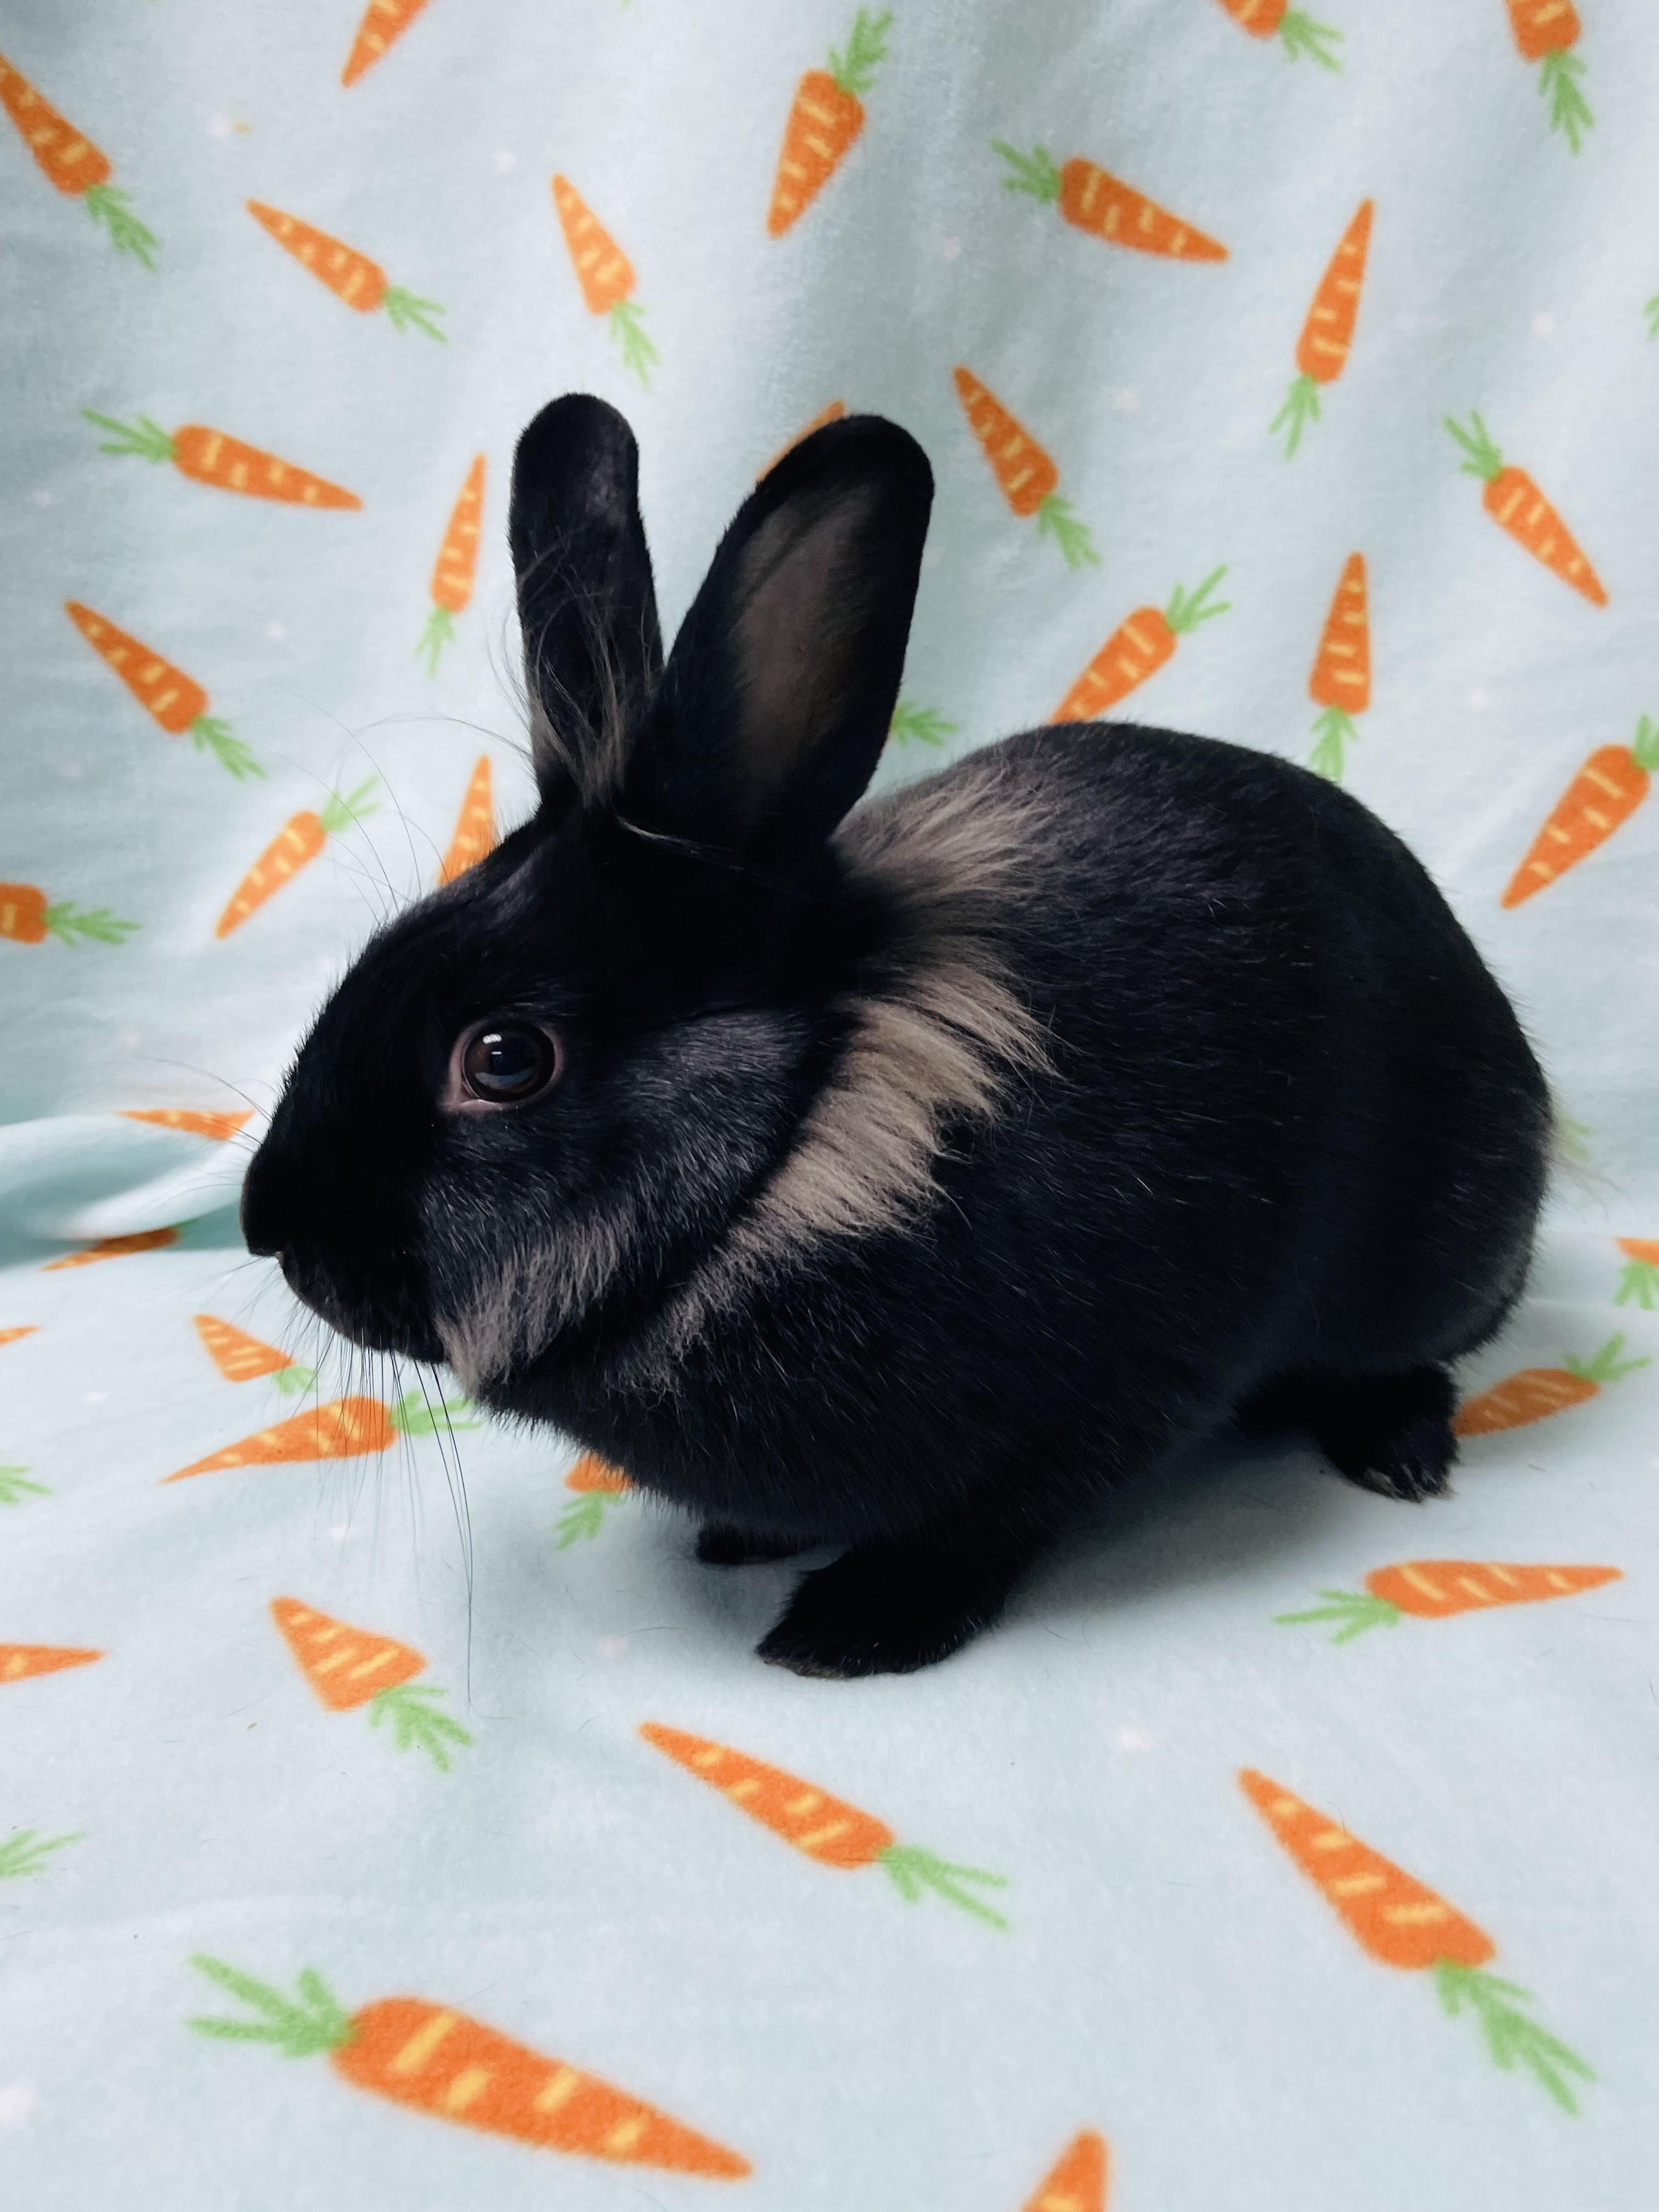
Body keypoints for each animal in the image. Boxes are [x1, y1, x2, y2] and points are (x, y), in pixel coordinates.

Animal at [241, 392, 1552, 1678]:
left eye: (505, 1058)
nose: (267, 1227)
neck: (796, 1149)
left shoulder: (1094, 1403)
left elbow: (978, 1529)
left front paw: (846, 1630)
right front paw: (739, 1539)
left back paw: (1399, 1452)